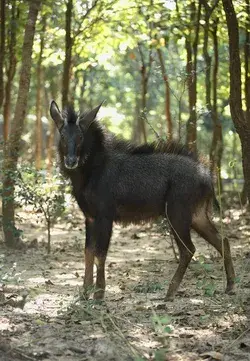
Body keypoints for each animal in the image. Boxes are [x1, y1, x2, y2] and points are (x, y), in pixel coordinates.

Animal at [49, 100, 235, 300]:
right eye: (62, 135)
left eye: (80, 136)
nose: (71, 161)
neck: (90, 173)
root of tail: (208, 178)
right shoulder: (89, 217)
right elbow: (88, 252)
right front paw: (84, 293)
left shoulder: (105, 215)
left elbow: (100, 253)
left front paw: (99, 294)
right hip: (197, 215)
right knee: (222, 240)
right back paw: (230, 286)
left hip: (176, 213)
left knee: (188, 249)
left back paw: (170, 292)